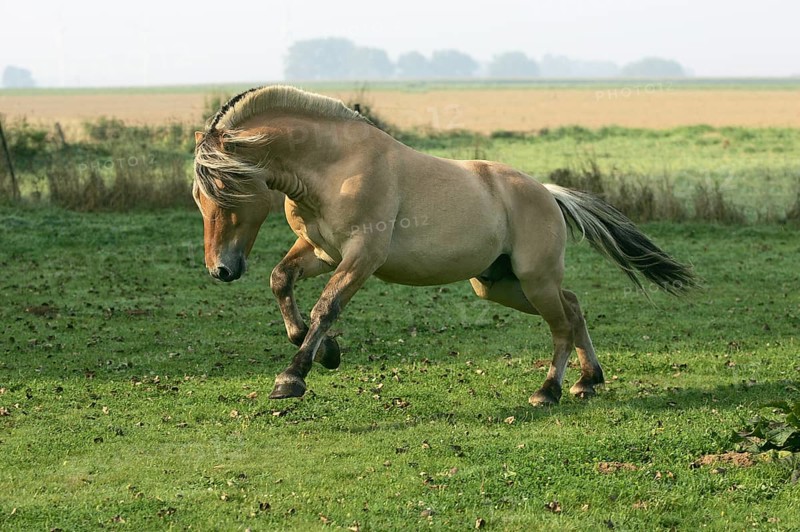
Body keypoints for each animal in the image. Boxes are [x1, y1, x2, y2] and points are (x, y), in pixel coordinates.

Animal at [192, 85, 696, 406]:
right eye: (198, 196)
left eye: (225, 190)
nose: (222, 269)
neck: (336, 166)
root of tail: (547, 193)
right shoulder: (321, 252)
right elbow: (281, 280)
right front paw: (325, 352)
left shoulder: (362, 256)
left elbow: (326, 307)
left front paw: (292, 377)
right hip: (499, 285)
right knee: (572, 307)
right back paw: (588, 382)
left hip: (534, 280)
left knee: (561, 325)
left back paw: (548, 391)